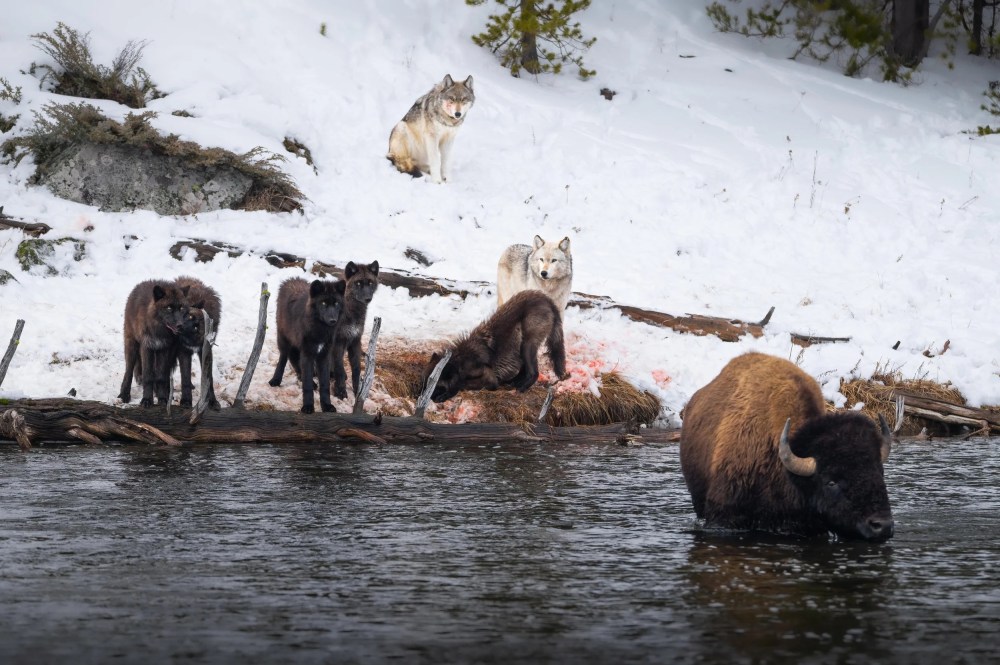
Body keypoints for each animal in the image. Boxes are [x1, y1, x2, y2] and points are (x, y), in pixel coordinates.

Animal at [269, 278, 345, 414]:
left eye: (336, 303)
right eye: (323, 303)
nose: (333, 320)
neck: (320, 330)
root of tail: (291, 280)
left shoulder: (324, 356)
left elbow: (325, 384)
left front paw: (327, 406)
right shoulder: (308, 353)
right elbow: (307, 385)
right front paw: (308, 407)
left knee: (295, 361)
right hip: (284, 340)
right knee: (283, 358)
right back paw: (276, 380)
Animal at [330, 261, 380, 400]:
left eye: (370, 283)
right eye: (358, 283)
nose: (368, 298)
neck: (353, 314)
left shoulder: (355, 341)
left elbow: (357, 369)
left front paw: (358, 390)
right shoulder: (338, 342)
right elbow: (339, 368)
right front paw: (341, 392)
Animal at [421, 291, 568, 403]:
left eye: (433, 386)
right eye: (425, 383)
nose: (420, 396)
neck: (460, 361)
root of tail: (546, 299)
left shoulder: (489, 377)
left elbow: (462, 384)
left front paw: (446, 394)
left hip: (527, 345)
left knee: (534, 373)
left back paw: (520, 389)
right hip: (522, 348)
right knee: (524, 369)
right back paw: (513, 383)